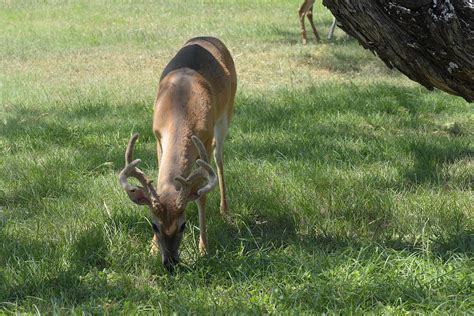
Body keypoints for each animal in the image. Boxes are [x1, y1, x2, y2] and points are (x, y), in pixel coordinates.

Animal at [118, 35, 237, 270]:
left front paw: (204, 249)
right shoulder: (157, 136)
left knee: (219, 158)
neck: (180, 109)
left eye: (183, 225)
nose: (170, 264)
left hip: (226, 113)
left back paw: (224, 210)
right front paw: (152, 249)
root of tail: (210, 37)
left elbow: (201, 195)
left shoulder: (205, 138)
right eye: (154, 226)